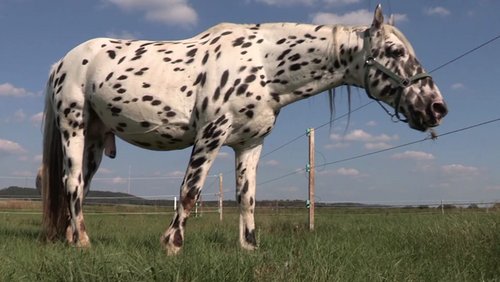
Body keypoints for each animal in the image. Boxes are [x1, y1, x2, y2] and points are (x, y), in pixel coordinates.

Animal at [41, 5, 448, 254]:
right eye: (394, 51)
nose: (436, 107)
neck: (265, 65)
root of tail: (63, 61)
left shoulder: (249, 145)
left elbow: (246, 197)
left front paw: (250, 246)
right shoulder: (211, 134)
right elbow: (189, 191)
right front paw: (172, 243)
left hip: (96, 140)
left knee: (79, 187)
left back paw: (70, 238)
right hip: (75, 127)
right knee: (72, 182)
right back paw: (83, 242)